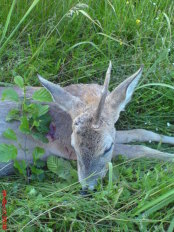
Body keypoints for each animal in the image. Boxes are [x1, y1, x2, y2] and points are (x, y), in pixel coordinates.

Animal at [0, 62, 174, 190]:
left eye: (107, 148)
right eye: (74, 146)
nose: (86, 189)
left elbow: (142, 132)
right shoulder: (64, 145)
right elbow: (141, 149)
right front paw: (170, 158)